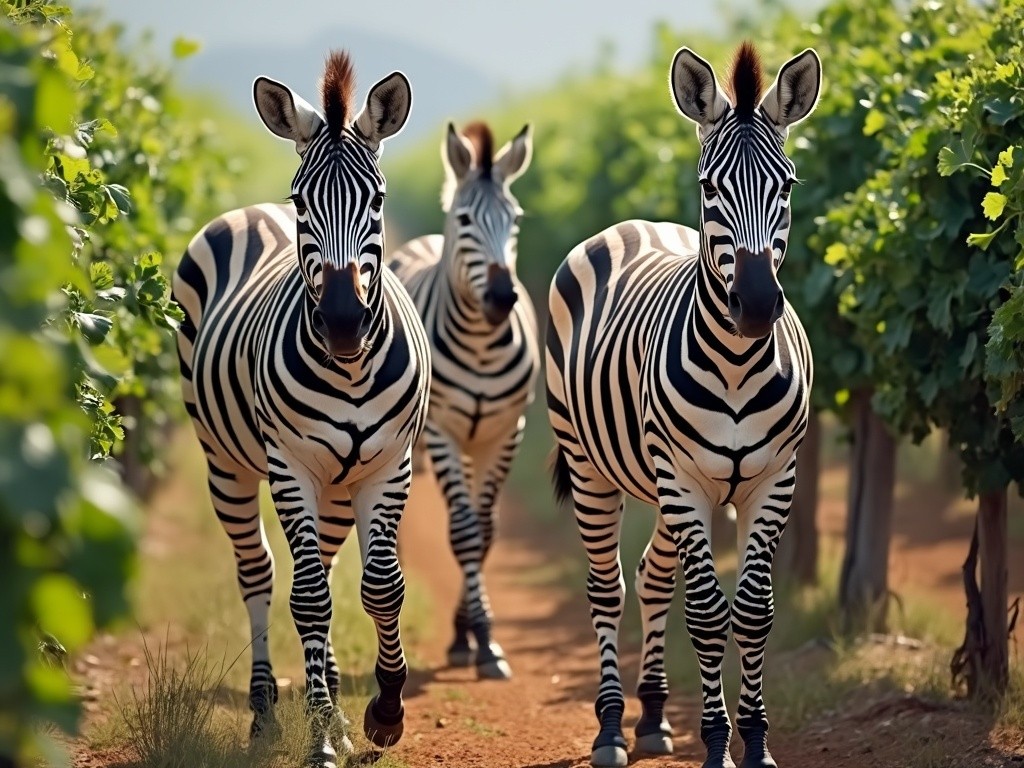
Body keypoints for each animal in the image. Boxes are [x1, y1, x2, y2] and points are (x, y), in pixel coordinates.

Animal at [174, 51, 430, 765]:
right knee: (260, 575)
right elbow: (310, 597)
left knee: (331, 567)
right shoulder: (289, 466)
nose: (343, 324)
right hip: (226, 463)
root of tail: (249, 211)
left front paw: (383, 713)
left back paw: (339, 709)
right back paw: (266, 712)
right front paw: (319, 738)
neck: (350, 368)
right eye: (301, 202)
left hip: (337, 486)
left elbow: (381, 585)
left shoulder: (389, 467)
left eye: (378, 201)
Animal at [387, 118, 540, 679]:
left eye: (516, 220)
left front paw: (481, 638)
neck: (479, 345)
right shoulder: (442, 432)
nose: (501, 298)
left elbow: (485, 532)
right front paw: (481, 640)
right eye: (466, 219)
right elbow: (463, 534)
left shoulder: (507, 431)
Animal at [548, 43, 819, 768]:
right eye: (709, 189)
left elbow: (752, 612)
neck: (737, 364)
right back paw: (611, 728)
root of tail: (635, 225)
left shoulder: (774, 479)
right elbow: (705, 613)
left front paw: (755, 743)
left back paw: (651, 718)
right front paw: (717, 743)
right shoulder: (684, 478)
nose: (755, 306)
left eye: (787, 186)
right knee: (609, 587)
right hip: (594, 465)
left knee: (651, 577)